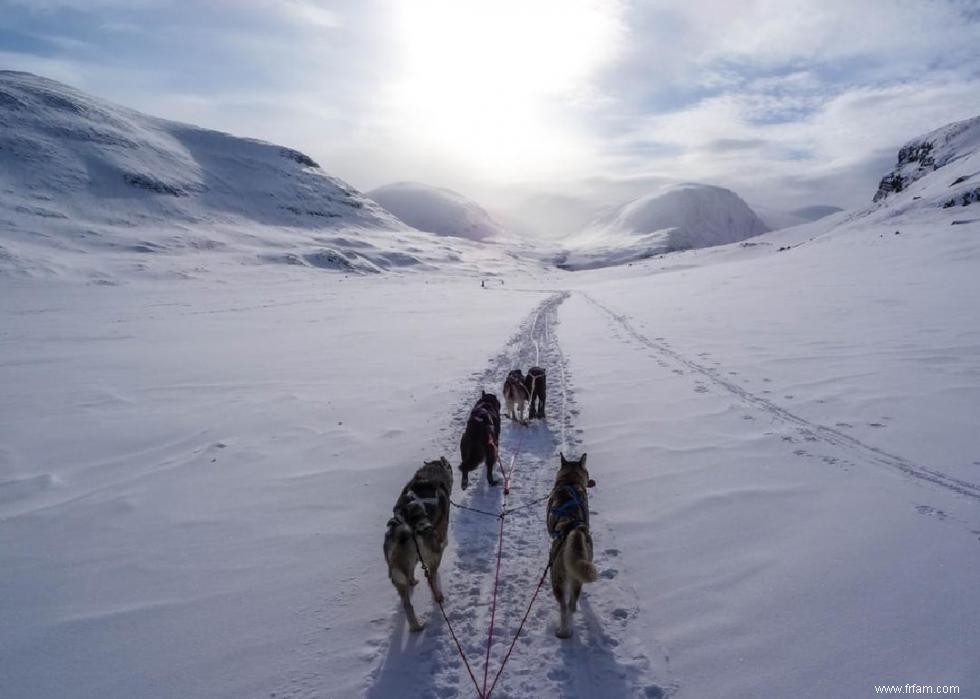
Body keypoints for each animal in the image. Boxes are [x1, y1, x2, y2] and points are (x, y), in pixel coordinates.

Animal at [386, 460, 456, 636]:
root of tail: (405, 526)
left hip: (399, 571)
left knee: (407, 604)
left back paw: (415, 626)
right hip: (432, 556)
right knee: (432, 577)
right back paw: (437, 596)